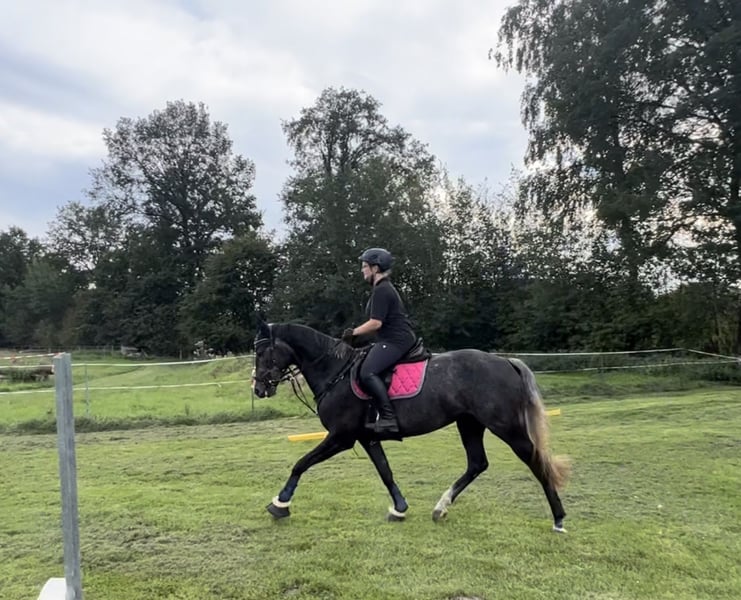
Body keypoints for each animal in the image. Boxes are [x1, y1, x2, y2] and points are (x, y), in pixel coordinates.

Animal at [252, 319, 570, 532]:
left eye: (262, 352)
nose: (258, 388)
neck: (335, 371)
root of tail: (505, 363)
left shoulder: (341, 437)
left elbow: (301, 463)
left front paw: (280, 504)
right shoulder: (366, 438)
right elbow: (385, 472)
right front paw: (399, 509)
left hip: (506, 427)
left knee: (535, 460)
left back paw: (558, 518)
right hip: (469, 423)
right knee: (477, 463)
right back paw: (441, 507)